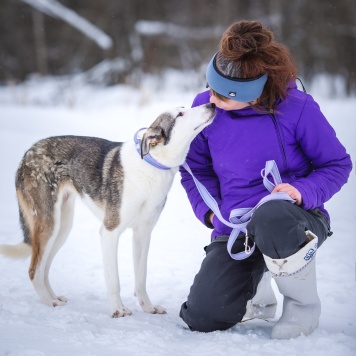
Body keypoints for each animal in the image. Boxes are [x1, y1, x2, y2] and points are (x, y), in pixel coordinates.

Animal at [0, 103, 216, 318]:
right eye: (180, 114)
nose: (211, 104)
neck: (151, 165)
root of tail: (28, 153)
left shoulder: (143, 234)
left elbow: (141, 278)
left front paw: (148, 307)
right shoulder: (110, 232)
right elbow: (114, 280)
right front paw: (118, 309)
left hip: (62, 227)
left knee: (44, 268)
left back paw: (53, 297)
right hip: (49, 224)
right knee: (34, 270)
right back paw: (48, 301)